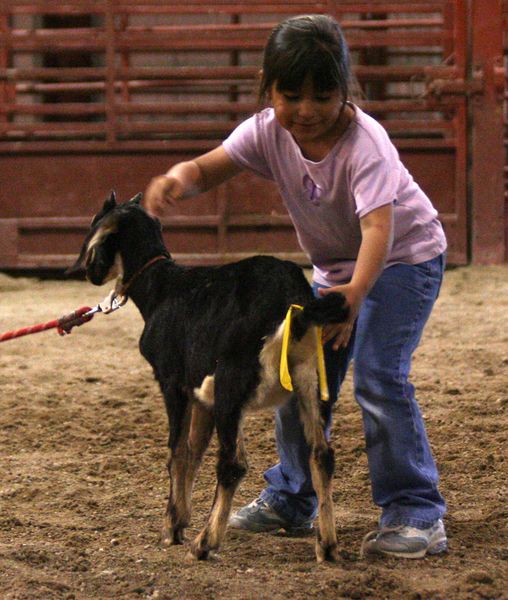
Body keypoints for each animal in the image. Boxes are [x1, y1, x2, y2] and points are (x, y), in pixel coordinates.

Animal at [70, 192, 350, 564]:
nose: (89, 272)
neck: (161, 287)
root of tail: (293, 300)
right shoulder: (201, 393)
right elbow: (194, 450)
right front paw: (181, 518)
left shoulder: (173, 383)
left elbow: (177, 451)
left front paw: (172, 528)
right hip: (308, 382)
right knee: (321, 455)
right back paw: (328, 545)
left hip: (232, 387)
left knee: (233, 463)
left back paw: (205, 542)